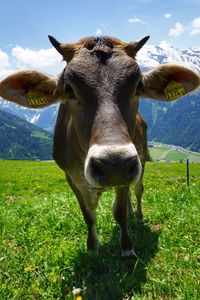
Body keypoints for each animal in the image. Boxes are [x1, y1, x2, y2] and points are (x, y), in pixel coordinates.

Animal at [0, 35, 199, 258]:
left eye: (138, 86)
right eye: (69, 89)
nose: (114, 164)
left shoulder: (128, 169)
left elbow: (119, 212)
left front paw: (127, 248)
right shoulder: (71, 177)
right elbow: (88, 214)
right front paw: (92, 246)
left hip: (141, 160)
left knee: (138, 190)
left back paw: (137, 215)